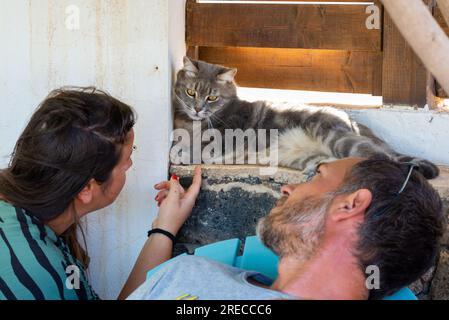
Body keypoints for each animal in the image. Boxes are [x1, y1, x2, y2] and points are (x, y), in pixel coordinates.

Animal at [173, 56, 440, 179]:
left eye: (212, 97)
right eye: (191, 92)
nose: (197, 109)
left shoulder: (227, 138)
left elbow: (199, 148)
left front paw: (181, 153)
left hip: (337, 137)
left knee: (378, 157)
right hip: (308, 156)